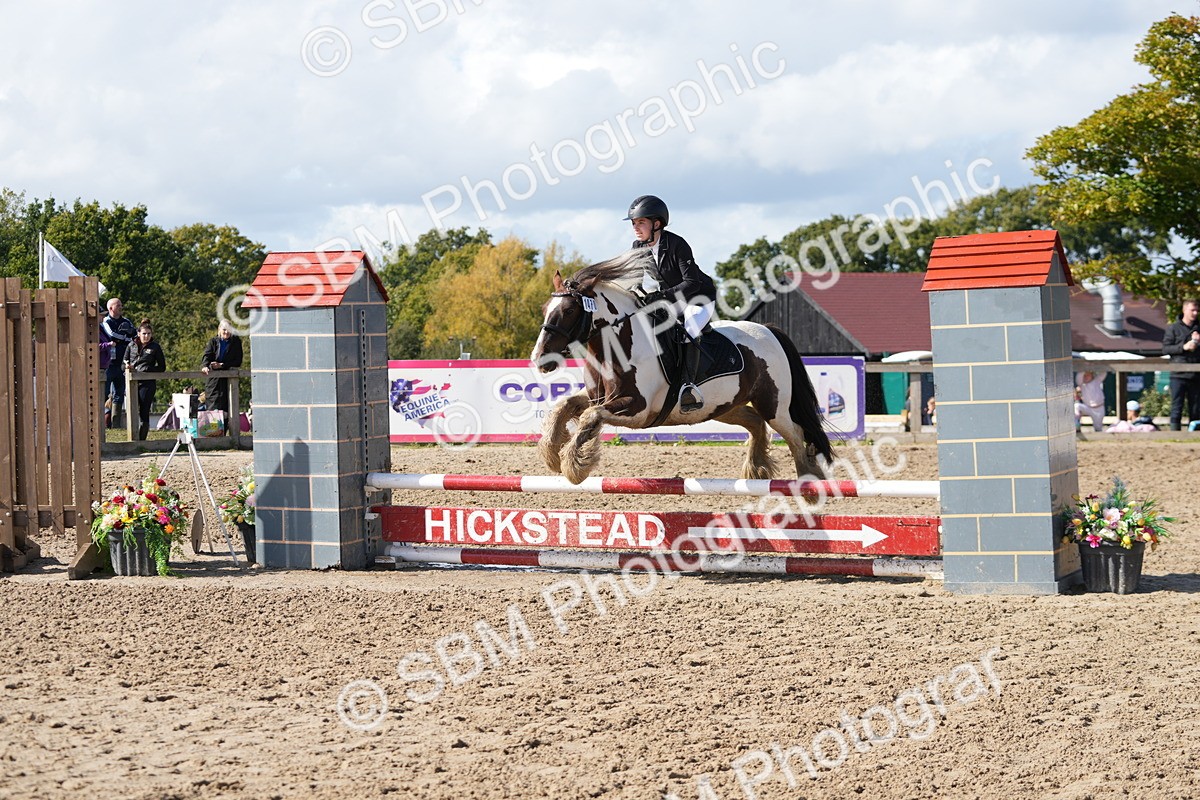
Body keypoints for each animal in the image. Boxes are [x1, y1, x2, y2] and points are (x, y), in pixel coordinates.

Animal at [530, 249, 833, 484]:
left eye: (569, 310)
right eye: (545, 308)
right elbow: (566, 406)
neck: (615, 346)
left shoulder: (637, 408)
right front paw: (552, 453)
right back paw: (757, 470)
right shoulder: (600, 397)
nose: (539, 357)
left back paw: (809, 486)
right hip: (725, 406)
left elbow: (590, 416)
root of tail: (769, 330)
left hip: (774, 405)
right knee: (756, 423)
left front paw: (574, 466)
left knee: (795, 434)